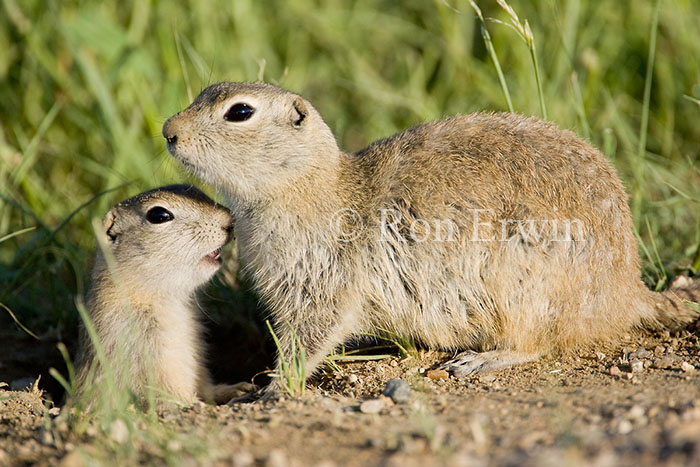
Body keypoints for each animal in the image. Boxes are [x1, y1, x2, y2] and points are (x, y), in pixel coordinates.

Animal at [76, 186, 254, 406]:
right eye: (159, 215)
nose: (230, 221)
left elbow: (204, 383)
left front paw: (238, 388)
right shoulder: (140, 343)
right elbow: (165, 390)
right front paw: (197, 404)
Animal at [163, 82, 696, 386]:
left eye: (239, 112)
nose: (168, 129)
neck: (309, 185)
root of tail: (628, 290)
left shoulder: (324, 278)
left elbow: (311, 335)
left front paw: (274, 386)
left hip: (522, 284)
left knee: (539, 341)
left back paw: (480, 360)